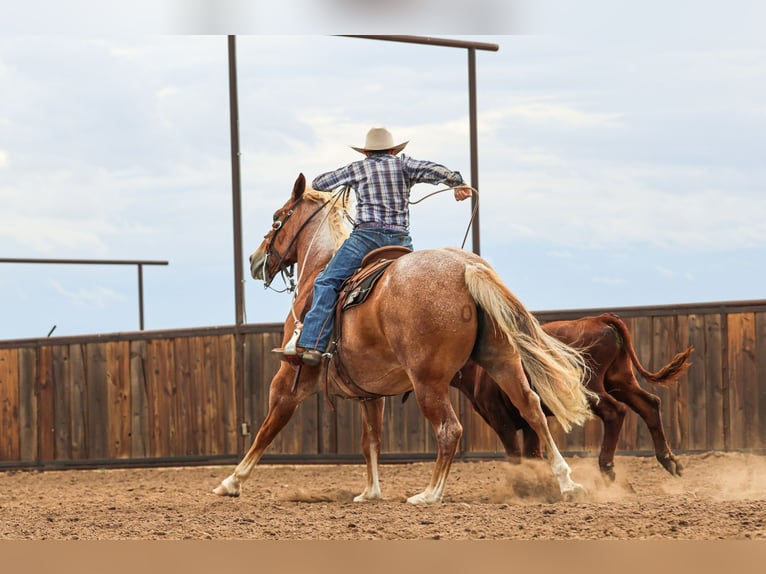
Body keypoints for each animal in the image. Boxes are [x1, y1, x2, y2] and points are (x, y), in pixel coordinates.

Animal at [213, 173, 597, 504]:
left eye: (277, 219)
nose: (255, 259)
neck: (319, 270)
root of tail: (465, 266)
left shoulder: (291, 378)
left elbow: (268, 427)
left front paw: (231, 482)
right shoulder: (370, 393)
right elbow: (370, 440)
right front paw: (370, 492)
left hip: (429, 381)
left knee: (450, 429)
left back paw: (429, 493)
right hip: (502, 362)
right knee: (532, 408)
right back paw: (566, 482)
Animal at [451, 313, 693, 481]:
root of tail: (597, 319)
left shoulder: (501, 420)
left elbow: (517, 456)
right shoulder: (529, 422)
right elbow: (532, 453)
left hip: (589, 388)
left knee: (615, 411)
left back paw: (607, 467)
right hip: (620, 379)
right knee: (649, 404)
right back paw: (670, 461)